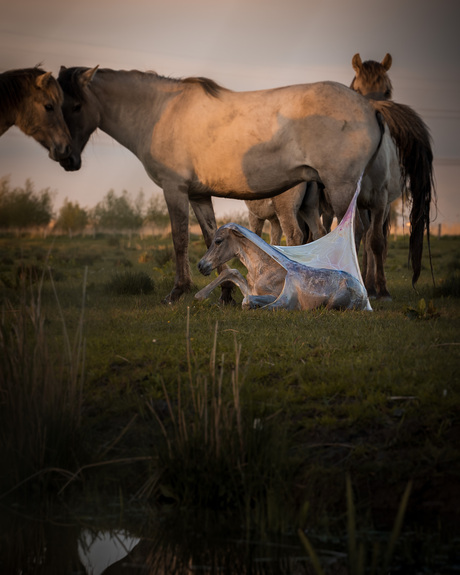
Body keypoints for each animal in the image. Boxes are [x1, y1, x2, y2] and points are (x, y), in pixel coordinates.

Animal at [56, 66, 384, 304]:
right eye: (55, 105)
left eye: (75, 106)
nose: (64, 155)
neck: (161, 112)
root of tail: (369, 107)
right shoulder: (199, 195)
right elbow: (208, 235)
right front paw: (224, 293)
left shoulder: (174, 189)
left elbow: (179, 238)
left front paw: (178, 291)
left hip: (341, 187)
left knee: (353, 233)